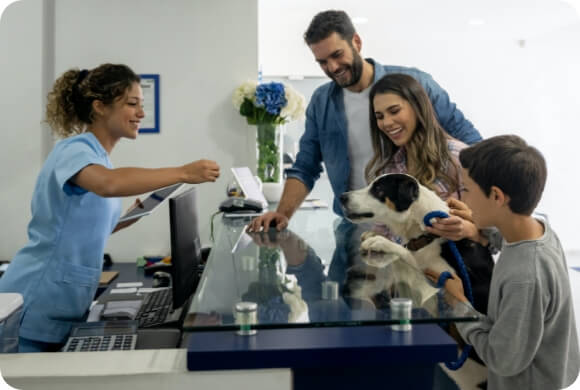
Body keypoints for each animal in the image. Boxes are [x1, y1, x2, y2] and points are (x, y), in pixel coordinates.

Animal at [340, 174, 494, 314]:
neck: (426, 233)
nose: (342, 197)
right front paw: (373, 235)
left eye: (378, 189)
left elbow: (406, 253)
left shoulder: (440, 276)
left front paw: (380, 241)